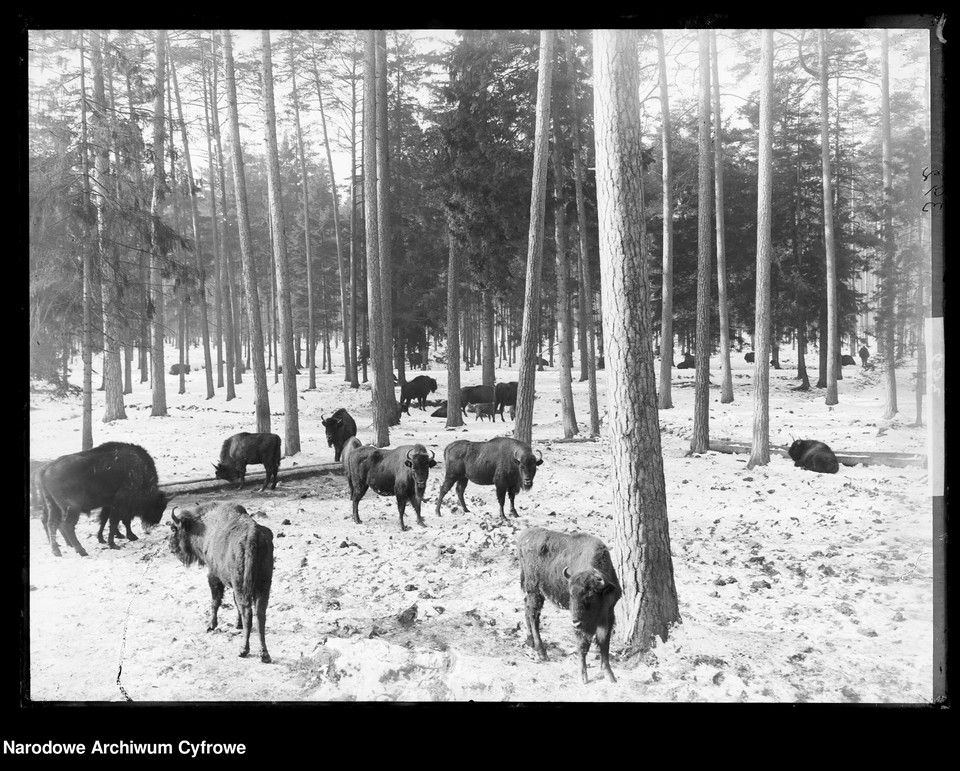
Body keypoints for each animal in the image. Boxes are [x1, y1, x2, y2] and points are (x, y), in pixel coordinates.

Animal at [36, 444, 169, 556]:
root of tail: (46, 469)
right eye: (159, 505)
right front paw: (116, 543)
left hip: (53, 505)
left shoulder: (109, 505)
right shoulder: (121, 504)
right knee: (66, 525)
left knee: (51, 523)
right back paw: (81, 550)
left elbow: (105, 520)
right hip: (72, 508)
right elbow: (117, 522)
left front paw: (103, 539)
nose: (156, 521)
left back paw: (57, 550)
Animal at [168, 500, 274, 664]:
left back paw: (244, 650)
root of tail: (253, 535)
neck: (206, 526)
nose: (170, 546)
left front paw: (211, 626)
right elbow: (235, 604)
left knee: (247, 611)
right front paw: (237, 624)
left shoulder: (213, 576)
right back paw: (264, 654)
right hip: (263, 585)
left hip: (242, 585)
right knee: (260, 614)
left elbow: (215, 602)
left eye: (174, 528)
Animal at [516, 528, 624, 684]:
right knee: (533, 616)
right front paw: (583, 676)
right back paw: (542, 652)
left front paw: (610, 675)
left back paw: (530, 641)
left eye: (590, 595)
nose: (576, 622)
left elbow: (604, 643)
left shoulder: (608, 615)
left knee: (527, 609)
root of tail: (524, 536)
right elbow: (583, 644)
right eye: (571, 595)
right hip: (534, 590)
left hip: (533, 593)